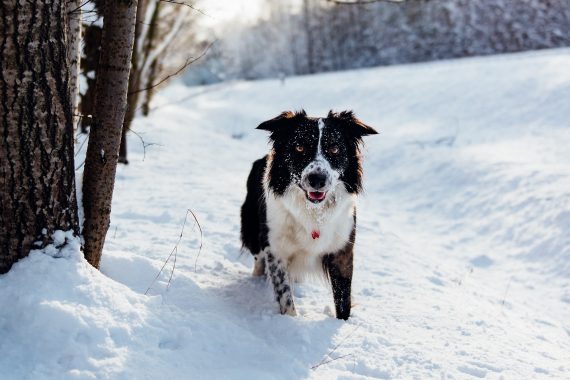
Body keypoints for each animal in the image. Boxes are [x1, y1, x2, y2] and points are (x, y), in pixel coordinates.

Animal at [239, 110, 374, 320]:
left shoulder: (341, 249)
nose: (317, 179)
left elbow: (343, 298)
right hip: (253, 231)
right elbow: (285, 295)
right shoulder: (275, 249)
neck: (313, 212)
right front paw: (289, 321)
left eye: (334, 149)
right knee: (258, 261)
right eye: (299, 147)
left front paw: (343, 323)